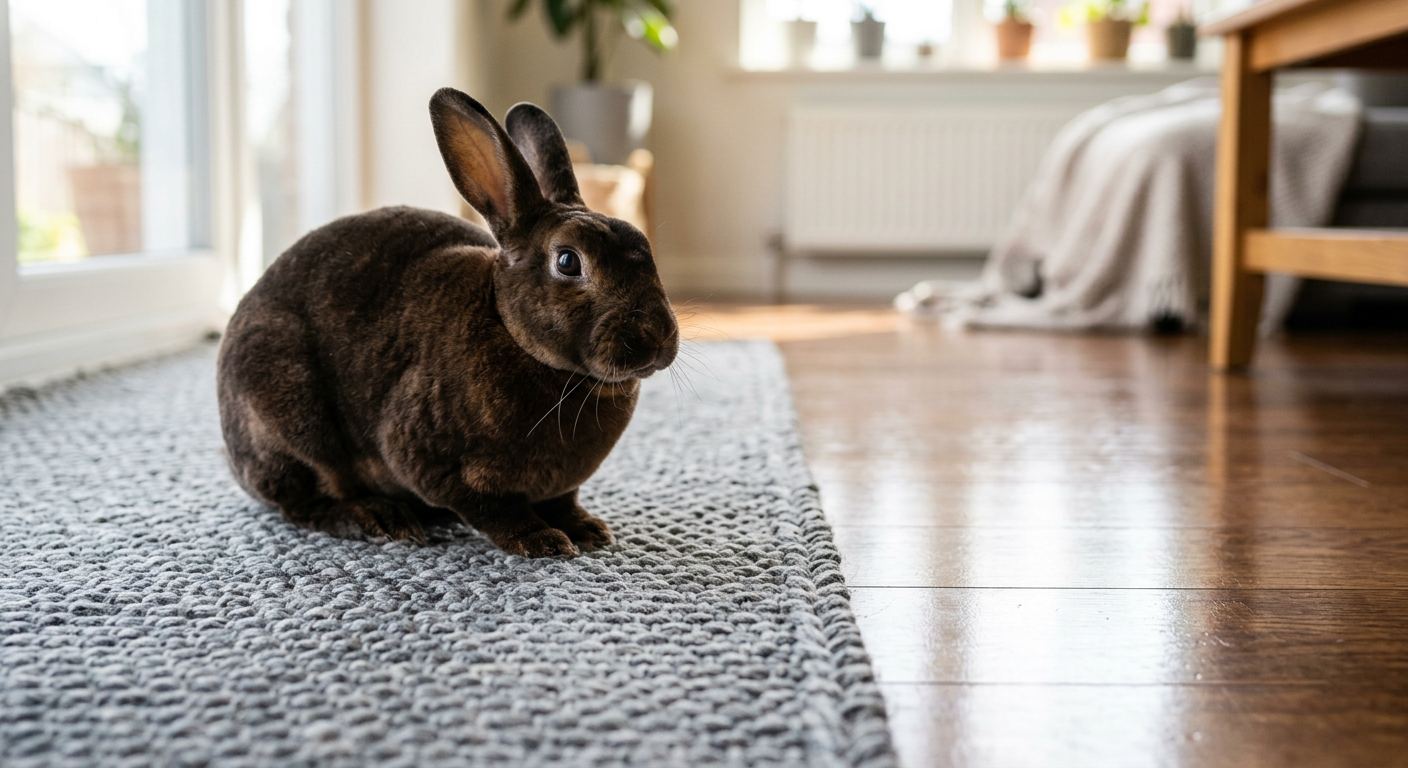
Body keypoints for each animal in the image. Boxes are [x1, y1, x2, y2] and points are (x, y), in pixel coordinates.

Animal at [216, 87, 678, 557]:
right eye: (568, 262)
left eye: (644, 245)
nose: (657, 336)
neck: (513, 334)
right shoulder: (434, 461)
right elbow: (493, 510)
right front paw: (544, 541)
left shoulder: (559, 488)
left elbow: (563, 503)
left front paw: (588, 531)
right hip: (291, 412)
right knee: (303, 500)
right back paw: (378, 518)